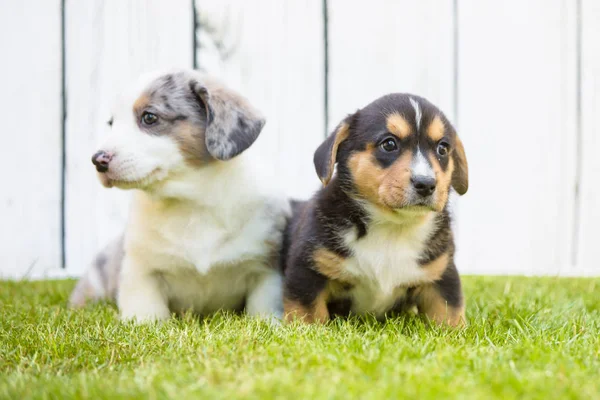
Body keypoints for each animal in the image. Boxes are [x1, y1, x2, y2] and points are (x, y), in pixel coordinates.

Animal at [69, 69, 290, 324]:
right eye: (112, 123)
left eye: (149, 117)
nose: (97, 160)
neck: (193, 201)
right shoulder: (142, 272)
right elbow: (146, 313)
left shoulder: (264, 271)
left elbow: (262, 309)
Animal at [282, 95, 468, 326]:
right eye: (389, 144)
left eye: (442, 149)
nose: (426, 184)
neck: (394, 227)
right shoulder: (307, 271)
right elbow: (308, 318)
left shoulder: (442, 275)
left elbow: (449, 315)